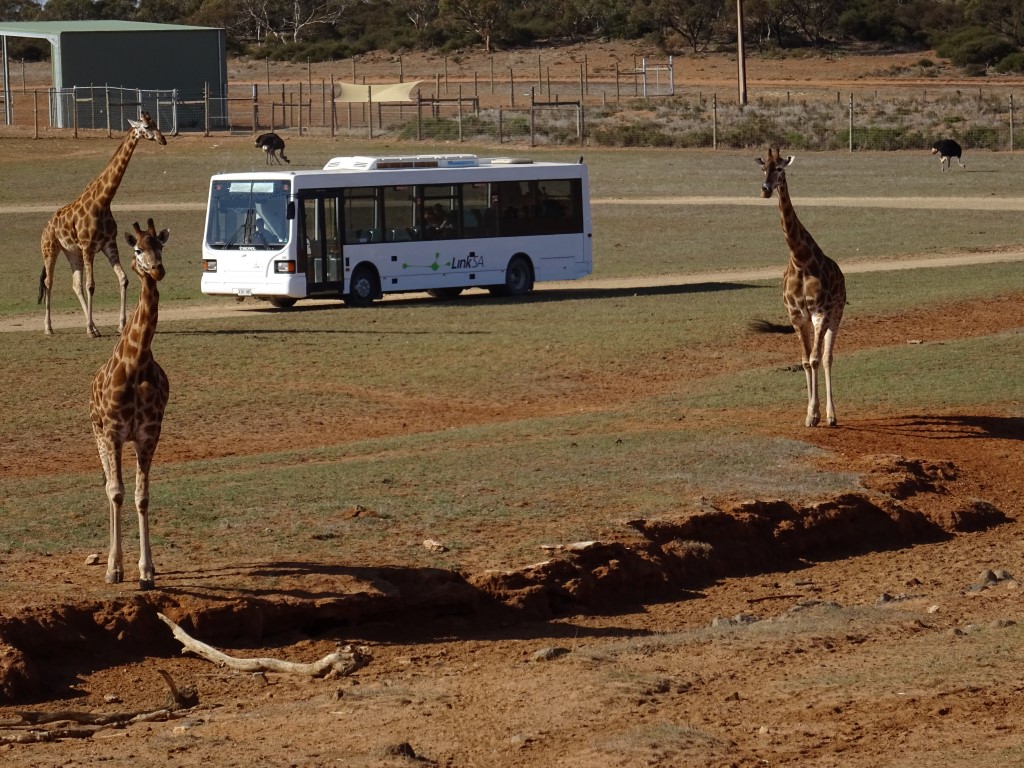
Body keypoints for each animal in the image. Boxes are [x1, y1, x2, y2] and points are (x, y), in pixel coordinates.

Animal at [37, 110, 165, 335]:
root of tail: (46, 227)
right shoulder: (88, 247)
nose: (163, 139)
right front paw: (90, 329)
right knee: (49, 282)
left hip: (72, 253)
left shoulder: (108, 244)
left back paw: (92, 324)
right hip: (50, 249)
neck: (103, 201)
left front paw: (120, 325)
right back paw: (49, 327)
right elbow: (91, 285)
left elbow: (123, 279)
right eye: (146, 127)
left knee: (75, 284)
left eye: (156, 124)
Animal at [753, 147, 847, 430]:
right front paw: (809, 415)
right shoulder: (796, 316)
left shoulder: (821, 312)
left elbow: (816, 359)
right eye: (763, 167)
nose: (765, 189)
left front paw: (818, 414)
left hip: (836, 315)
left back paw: (831, 415)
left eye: (780, 168)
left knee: (827, 357)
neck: (800, 261)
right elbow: (805, 361)